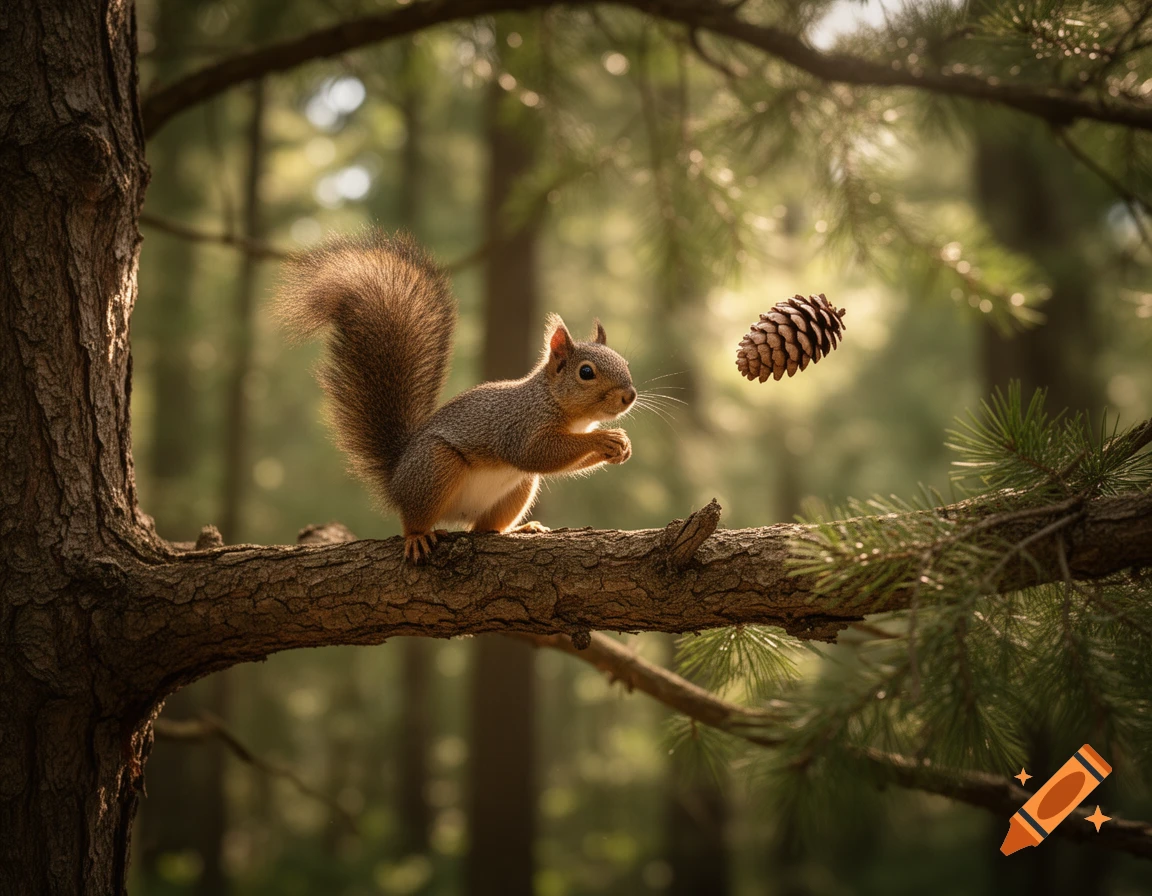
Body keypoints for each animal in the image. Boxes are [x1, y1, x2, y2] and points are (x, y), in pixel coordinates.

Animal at [278, 230, 636, 563]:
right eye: (586, 372)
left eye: (625, 362)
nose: (630, 396)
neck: (567, 411)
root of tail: (396, 480)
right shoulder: (520, 426)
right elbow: (538, 454)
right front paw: (605, 439)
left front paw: (621, 446)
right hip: (436, 467)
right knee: (414, 519)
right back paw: (417, 536)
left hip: (518, 488)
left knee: (483, 527)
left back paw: (518, 529)